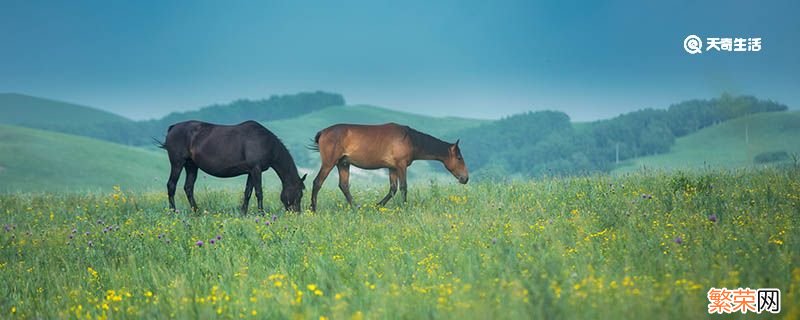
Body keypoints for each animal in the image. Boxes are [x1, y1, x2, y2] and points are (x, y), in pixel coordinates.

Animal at [158, 121, 304, 214]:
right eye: (299, 193)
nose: (296, 213)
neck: (266, 142)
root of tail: (173, 128)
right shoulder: (256, 169)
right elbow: (259, 192)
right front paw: (261, 213)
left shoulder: (251, 171)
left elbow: (248, 192)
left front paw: (243, 213)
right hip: (177, 163)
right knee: (171, 185)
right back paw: (173, 211)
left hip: (191, 166)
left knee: (188, 188)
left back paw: (196, 211)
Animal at [308, 124, 468, 211]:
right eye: (459, 158)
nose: (465, 178)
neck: (409, 139)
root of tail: (323, 132)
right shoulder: (401, 166)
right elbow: (403, 187)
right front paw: (404, 207)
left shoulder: (392, 168)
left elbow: (393, 189)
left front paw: (378, 206)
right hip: (329, 163)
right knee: (317, 182)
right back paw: (313, 209)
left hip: (343, 164)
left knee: (344, 186)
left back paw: (356, 207)